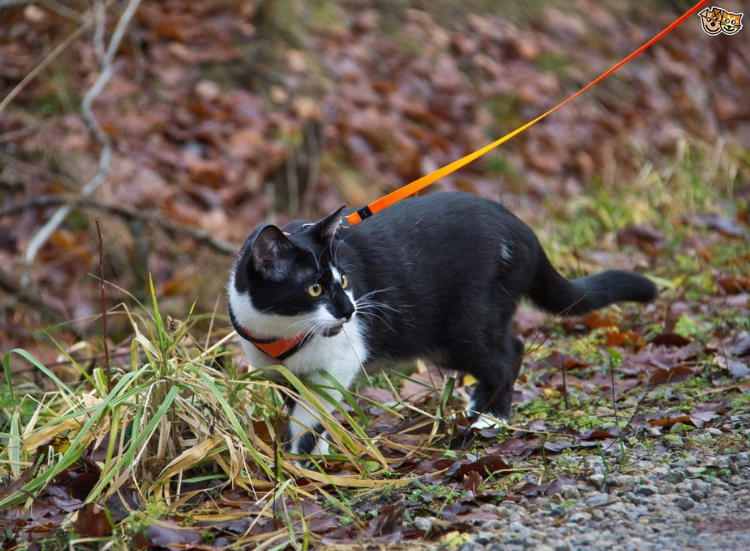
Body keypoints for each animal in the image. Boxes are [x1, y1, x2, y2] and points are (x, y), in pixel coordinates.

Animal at [229, 192, 656, 460]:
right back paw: (477, 405)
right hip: (442, 341)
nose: (350, 310)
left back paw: (491, 418)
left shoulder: (340, 360)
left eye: (345, 279)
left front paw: (300, 464)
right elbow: (306, 410)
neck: (283, 333)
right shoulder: (283, 374)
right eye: (315, 288)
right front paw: (319, 454)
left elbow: (311, 415)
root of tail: (522, 229)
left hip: (466, 322)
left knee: (508, 354)